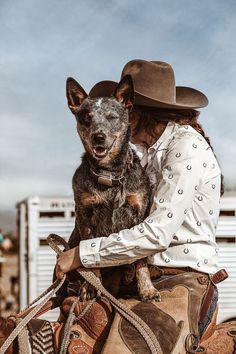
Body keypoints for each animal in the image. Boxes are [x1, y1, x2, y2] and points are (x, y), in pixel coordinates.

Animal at [64, 74, 160, 302]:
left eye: (111, 117)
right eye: (87, 117)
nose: (98, 137)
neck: (110, 175)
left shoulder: (138, 212)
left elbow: (141, 259)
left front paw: (147, 289)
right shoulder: (85, 213)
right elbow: (88, 255)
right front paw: (89, 287)